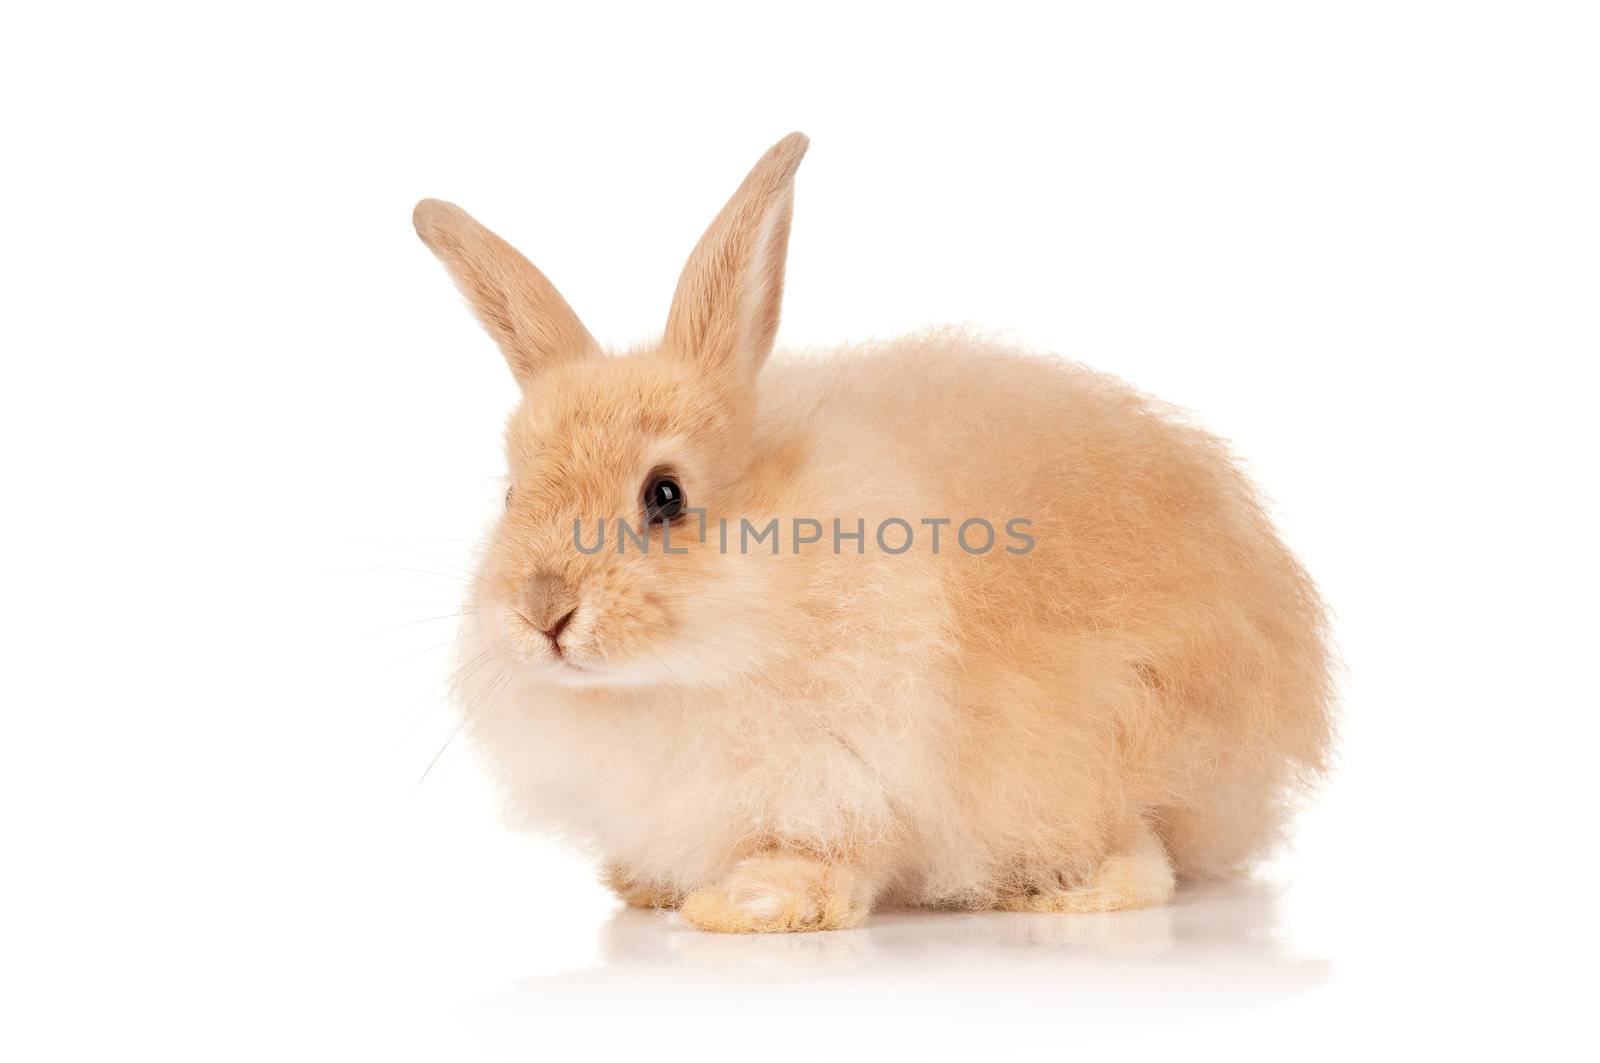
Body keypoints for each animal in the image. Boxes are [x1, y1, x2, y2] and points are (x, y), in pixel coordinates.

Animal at [416, 130, 1337, 928]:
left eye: (665, 495)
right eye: (511, 493)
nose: (543, 613)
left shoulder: (850, 775)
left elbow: (834, 856)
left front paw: (745, 905)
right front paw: (648, 886)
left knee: (1143, 856)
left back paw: (1059, 893)